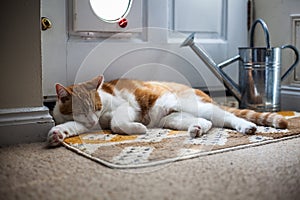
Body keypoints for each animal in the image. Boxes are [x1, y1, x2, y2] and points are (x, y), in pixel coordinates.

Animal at [47, 74, 288, 145]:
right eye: (82, 111)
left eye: (97, 108)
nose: (92, 120)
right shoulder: (84, 124)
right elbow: (72, 126)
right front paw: (57, 134)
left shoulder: (124, 107)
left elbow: (117, 122)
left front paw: (139, 129)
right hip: (172, 118)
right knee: (208, 123)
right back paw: (197, 129)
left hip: (190, 105)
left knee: (227, 117)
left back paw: (247, 127)